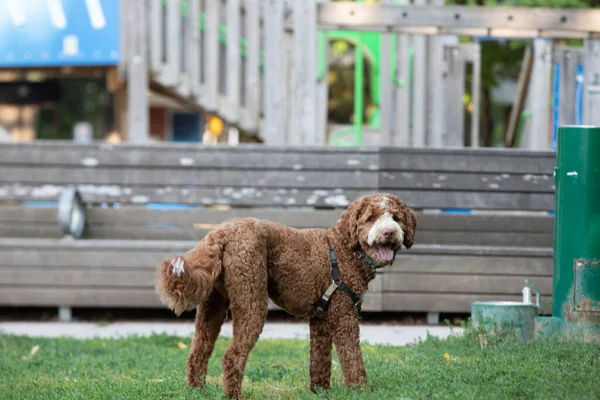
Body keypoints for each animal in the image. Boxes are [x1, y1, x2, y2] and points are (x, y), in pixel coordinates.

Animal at [155, 193, 418, 396]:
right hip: (251, 299)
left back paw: (197, 390)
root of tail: (219, 233)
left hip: (212, 306)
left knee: (198, 351)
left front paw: (320, 391)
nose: (389, 232)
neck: (346, 249)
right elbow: (352, 356)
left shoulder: (321, 320)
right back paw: (234, 395)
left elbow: (320, 360)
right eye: (371, 218)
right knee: (232, 356)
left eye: (396, 218)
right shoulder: (344, 315)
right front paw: (360, 389)